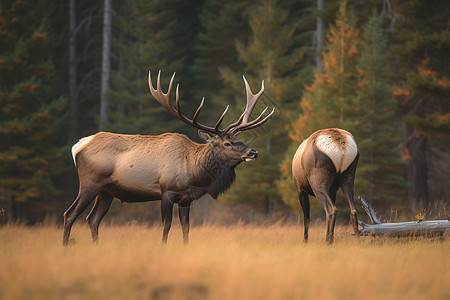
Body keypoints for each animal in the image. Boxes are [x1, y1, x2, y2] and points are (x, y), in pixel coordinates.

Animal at [63, 71, 274, 246]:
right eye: (227, 143)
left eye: (239, 139)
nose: (253, 152)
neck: (194, 173)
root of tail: (78, 146)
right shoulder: (167, 190)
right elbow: (166, 225)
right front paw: (163, 247)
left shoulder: (186, 199)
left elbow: (186, 227)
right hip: (91, 183)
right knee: (70, 214)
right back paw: (65, 247)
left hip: (107, 191)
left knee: (93, 219)